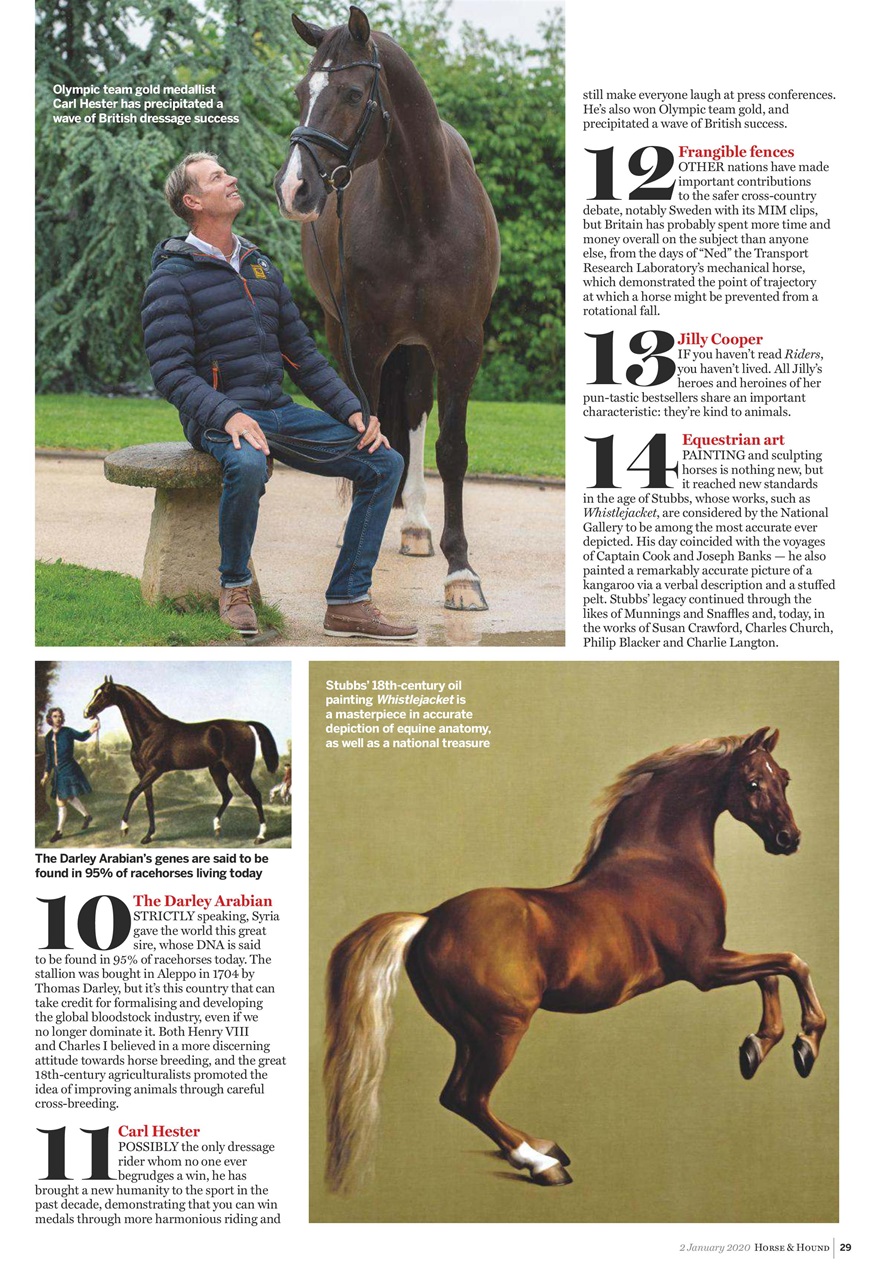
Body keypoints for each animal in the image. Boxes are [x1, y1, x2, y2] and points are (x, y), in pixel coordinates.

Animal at [83, 677, 279, 845]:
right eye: (95, 691)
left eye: (105, 693)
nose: (87, 712)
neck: (150, 732)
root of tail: (245, 724)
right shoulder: (142, 772)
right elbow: (148, 801)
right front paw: (148, 836)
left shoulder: (155, 770)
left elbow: (133, 793)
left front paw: (124, 828)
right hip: (218, 770)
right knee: (227, 795)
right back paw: (216, 827)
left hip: (240, 771)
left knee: (255, 796)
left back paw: (260, 836)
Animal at [274, 7, 500, 611]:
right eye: (302, 92)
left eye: (354, 93)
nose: (294, 188)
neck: (424, 214)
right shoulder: (366, 341)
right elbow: (365, 430)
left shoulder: (459, 345)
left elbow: (451, 448)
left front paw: (460, 571)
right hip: (341, 332)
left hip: (418, 346)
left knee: (417, 412)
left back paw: (416, 523)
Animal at [323, 728, 827, 1193]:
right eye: (751, 783)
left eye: (783, 778)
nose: (789, 839)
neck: (662, 863)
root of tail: (427, 921)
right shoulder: (705, 966)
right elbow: (790, 962)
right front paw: (803, 1045)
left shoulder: (716, 961)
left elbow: (773, 974)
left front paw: (757, 1047)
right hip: (501, 1030)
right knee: (467, 1097)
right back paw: (541, 1164)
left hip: (468, 1034)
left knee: (459, 1097)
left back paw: (543, 1147)